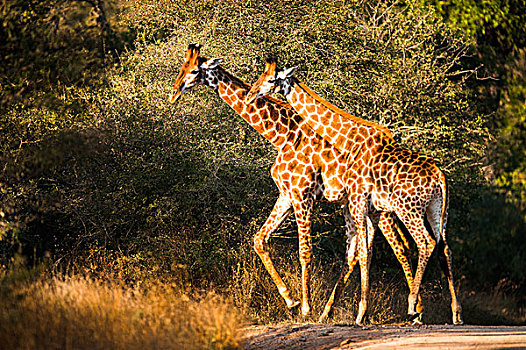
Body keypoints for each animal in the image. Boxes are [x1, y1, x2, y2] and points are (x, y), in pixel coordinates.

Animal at [170, 45, 420, 322]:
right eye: (181, 66)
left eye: (194, 71)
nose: (173, 93)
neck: (282, 136)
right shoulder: (286, 195)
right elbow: (259, 239)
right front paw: (291, 300)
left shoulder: (303, 195)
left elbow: (305, 252)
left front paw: (306, 308)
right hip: (362, 207)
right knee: (368, 249)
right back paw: (335, 312)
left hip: (376, 206)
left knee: (398, 247)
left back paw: (414, 313)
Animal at [246, 58, 462, 326]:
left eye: (270, 79)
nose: (252, 94)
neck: (350, 138)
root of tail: (439, 176)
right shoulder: (371, 209)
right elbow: (364, 253)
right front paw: (360, 311)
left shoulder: (358, 202)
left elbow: (362, 252)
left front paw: (361, 313)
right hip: (437, 210)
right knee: (444, 248)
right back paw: (456, 313)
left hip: (408, 209)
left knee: (425, 243)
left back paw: (413, 307)